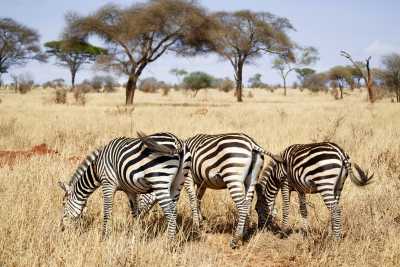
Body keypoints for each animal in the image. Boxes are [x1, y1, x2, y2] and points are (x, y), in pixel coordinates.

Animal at [57, 133, 191, 242]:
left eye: (63, 203)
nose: (61, 228)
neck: (96, 168)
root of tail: (176, 141)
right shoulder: (130, 190)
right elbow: (135, 213)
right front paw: (136, 236)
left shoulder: (108, 183)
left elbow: (107, 211)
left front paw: (104, 237)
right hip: (177, 183)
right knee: (174, 210)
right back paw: (170, 240)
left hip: (159, 180)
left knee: (170, 212)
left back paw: (168, 244)